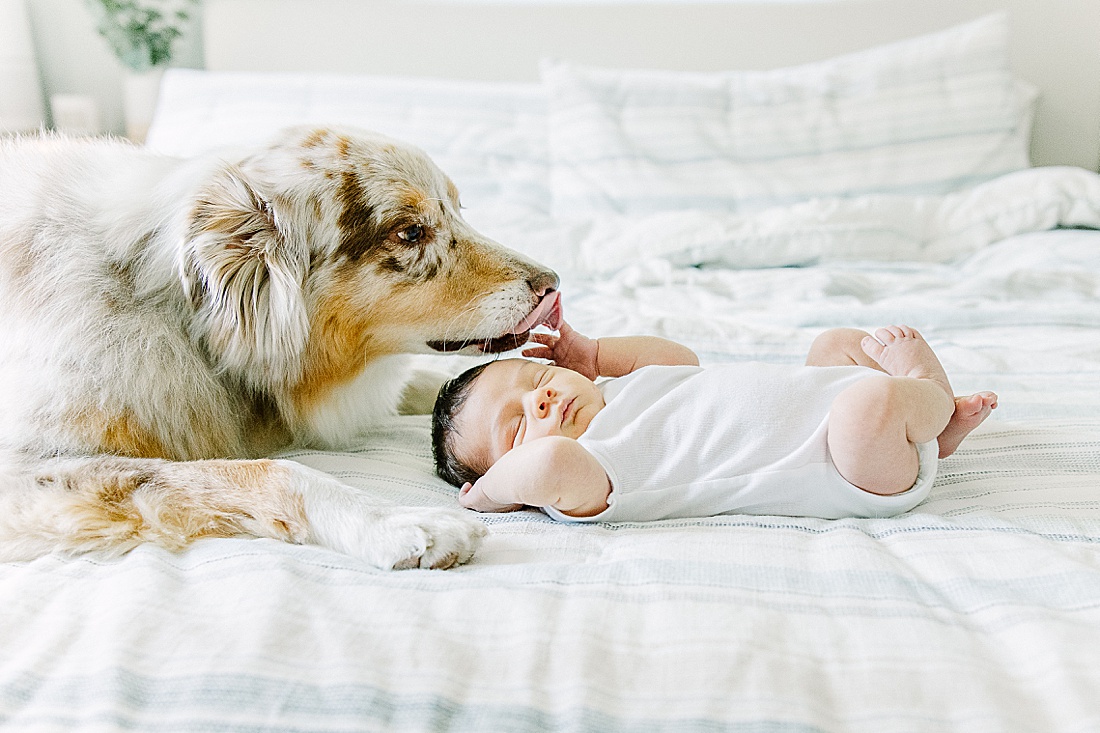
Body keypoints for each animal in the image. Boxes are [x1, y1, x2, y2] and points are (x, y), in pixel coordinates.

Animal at [0, 128, 558, 567]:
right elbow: (271, 470)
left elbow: (426, 382)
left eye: (459, 210)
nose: (552, 284)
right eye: (410, 232)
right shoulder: (29, 466)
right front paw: (397, 523)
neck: (183, 318)